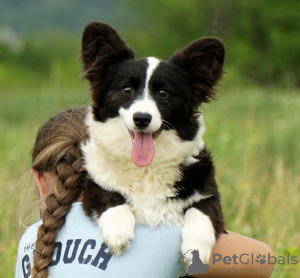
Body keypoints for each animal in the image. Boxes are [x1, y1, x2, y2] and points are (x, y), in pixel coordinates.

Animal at [80, 21, 225, 262]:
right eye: (127, 90)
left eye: (163, 93)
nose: (141, 119)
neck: (146, 168)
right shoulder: (93, 187)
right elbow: (111, 197)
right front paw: (118, 234)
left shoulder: (209, 195)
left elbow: (200, 212)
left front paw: (196, 249)